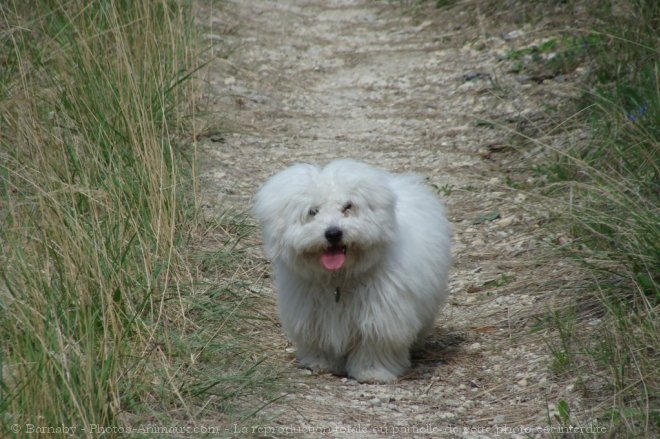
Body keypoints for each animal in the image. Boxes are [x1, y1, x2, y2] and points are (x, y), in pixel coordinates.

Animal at [250, 160, 452, 384]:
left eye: (348, 206)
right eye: (313, 211)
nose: (333, 233)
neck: (339, 278)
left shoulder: (381, 316)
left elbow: (374, 344)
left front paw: (373, 372)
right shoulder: (312, 313)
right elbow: (320, 340)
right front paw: (321, 363)